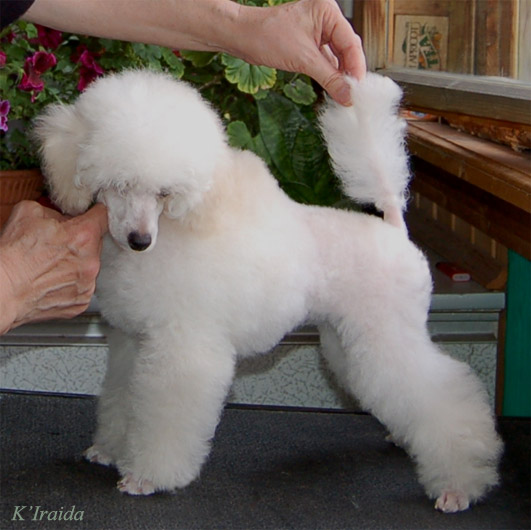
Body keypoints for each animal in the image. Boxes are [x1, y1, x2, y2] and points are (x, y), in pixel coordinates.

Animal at [34, 69, 502, 512]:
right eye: (119, 185)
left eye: (165, 194)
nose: (139, 240)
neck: (174, 231)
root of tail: (393, 228)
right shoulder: (133, 342)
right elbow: (123, 398)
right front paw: (112, 450)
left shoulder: (183, 345)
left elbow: (166, 414)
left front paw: (148, 476)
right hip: (349, 341)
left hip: (387, 332)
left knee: (442, 392)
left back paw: (460, 485)